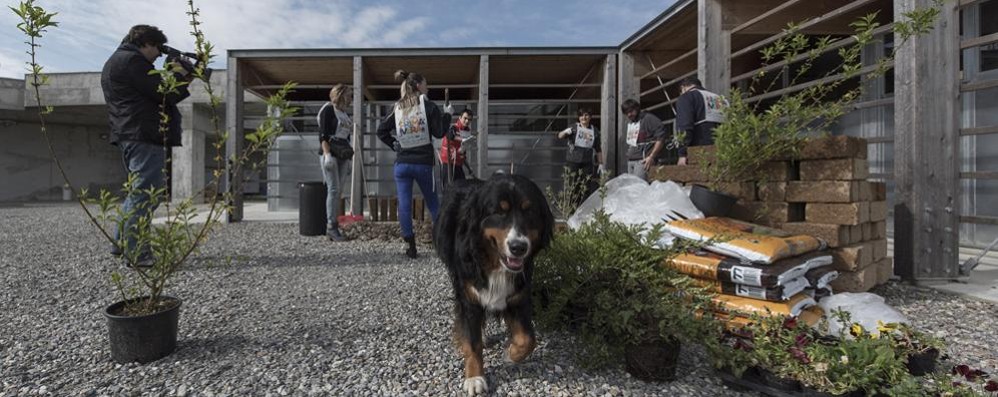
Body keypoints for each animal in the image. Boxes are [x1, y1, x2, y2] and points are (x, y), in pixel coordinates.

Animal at [434, 172, 560, 392]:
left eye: (529, 211)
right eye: (499, 212)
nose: (518, 247)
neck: (494, 264)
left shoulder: (518, 296)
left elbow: (528, 338)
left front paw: (511, 354)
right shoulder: (469, 296)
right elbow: (472, 341)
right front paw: (474, 377)